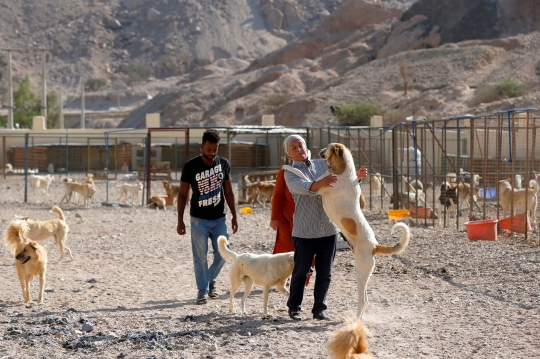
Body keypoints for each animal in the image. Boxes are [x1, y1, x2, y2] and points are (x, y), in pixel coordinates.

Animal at [284, 143, 412, 318]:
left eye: (328, 147)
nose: (318, 151)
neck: (343, 171)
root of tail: (375, 246)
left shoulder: (317, 188)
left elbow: (301, 176)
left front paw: (286, 167)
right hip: (363, 274)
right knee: (366, 299)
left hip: (361, 272)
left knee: (363, 300)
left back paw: (356, 319)